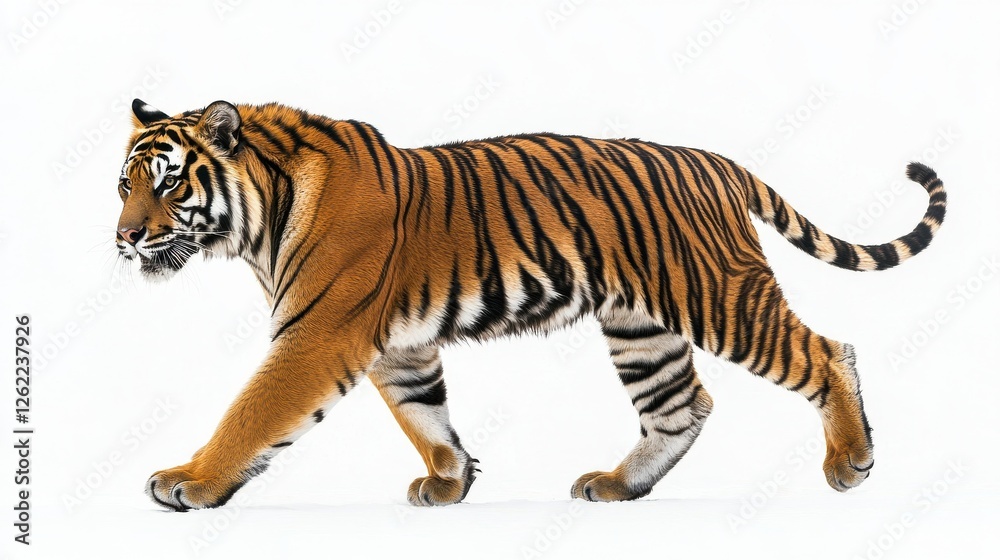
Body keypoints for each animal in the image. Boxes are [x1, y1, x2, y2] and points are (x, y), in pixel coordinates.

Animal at [116, 98, 946, 511]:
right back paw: (618, 486)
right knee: (683, 407)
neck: (257, 219)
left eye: (168, 183)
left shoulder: (317, 335)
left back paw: (851, 461)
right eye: (123, 185)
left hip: (719, 295)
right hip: (642, 327)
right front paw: (451, 482)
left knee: (828, 352)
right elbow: (425, 416)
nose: (124, 238)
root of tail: (715, 161)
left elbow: (252, 412)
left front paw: (190, 481)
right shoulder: (398, 346)